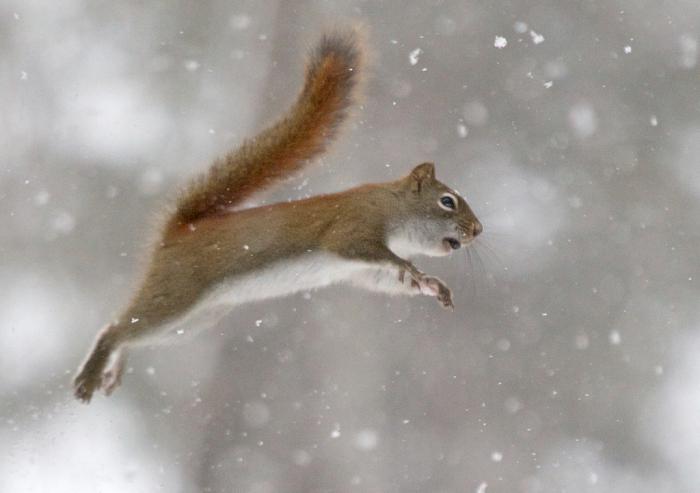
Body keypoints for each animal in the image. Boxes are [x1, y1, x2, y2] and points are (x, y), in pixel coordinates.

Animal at [75, 27, 482, 404]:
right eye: (448, 202)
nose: (478, 229)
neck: (392, 207)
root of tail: (178, 231)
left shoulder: (361, 272)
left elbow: (381, 279)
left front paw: (432, 284)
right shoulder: (353, 226)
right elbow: (365, 249)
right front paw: (410, 267)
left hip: (193, 322)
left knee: (129, 336)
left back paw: (112, 370)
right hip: (176, 295)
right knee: (117, 329)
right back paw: (91, 374)